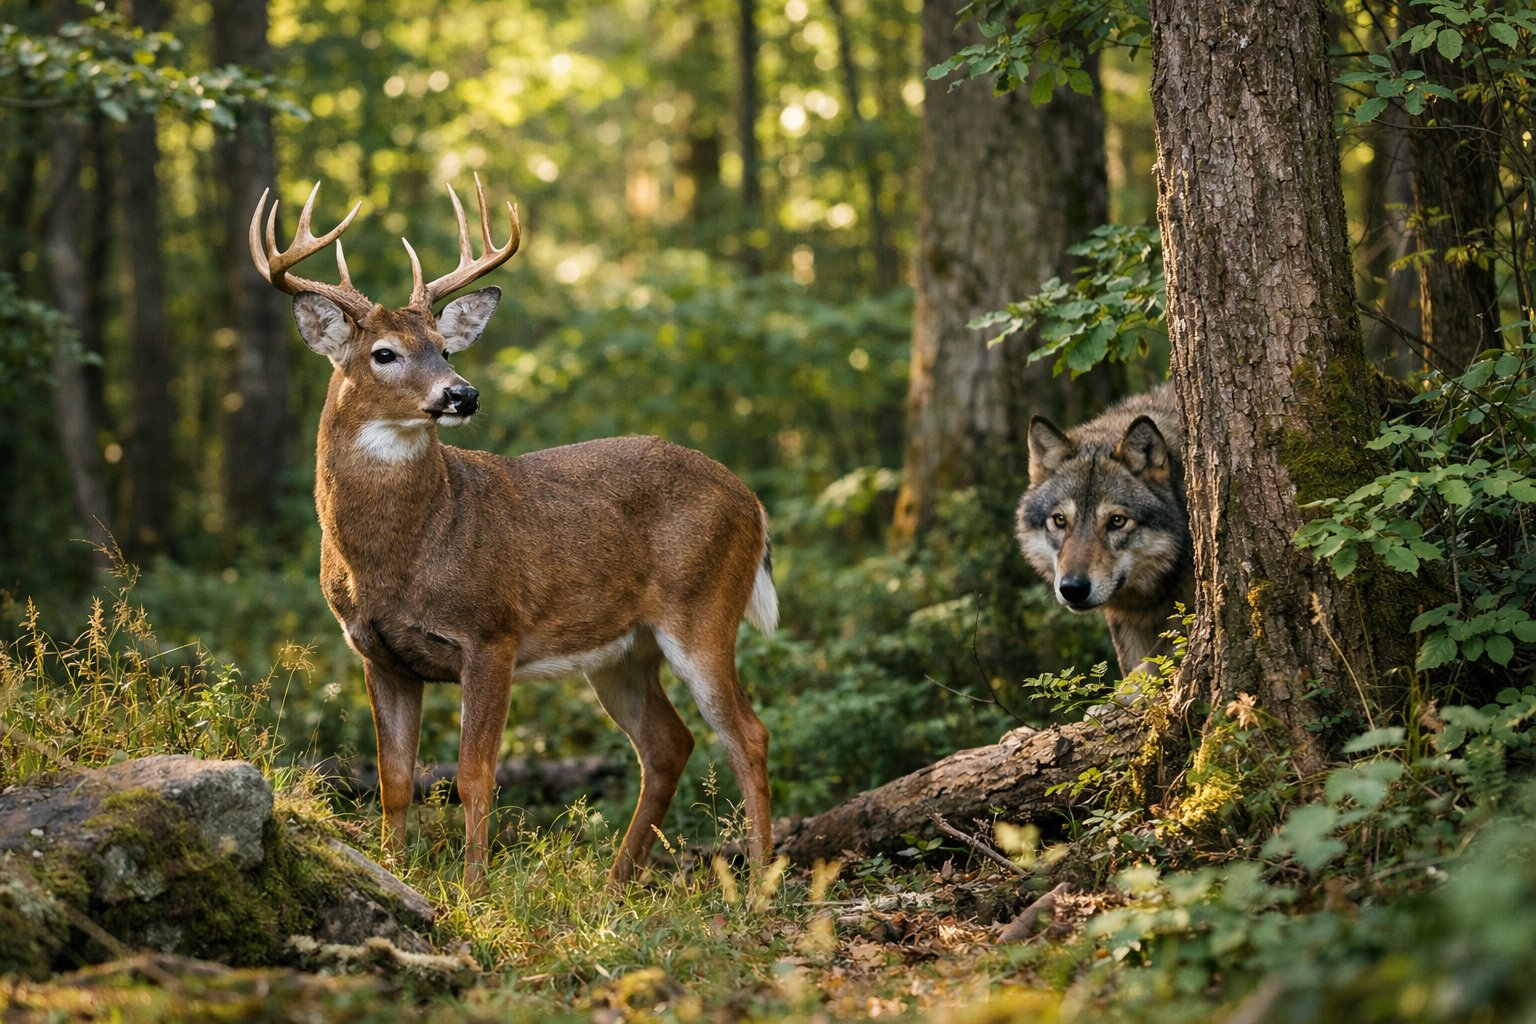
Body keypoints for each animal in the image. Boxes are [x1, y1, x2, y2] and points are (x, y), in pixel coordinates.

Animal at [248, 177, 776, 892]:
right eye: (384, 353)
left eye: (444, 347)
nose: (462, 394)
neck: (402, 554)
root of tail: (753, 502)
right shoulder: (377, 652)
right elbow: (394, 779)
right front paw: (393, 872)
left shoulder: (492, 631)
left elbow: (474, 776)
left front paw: (473, 893)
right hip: (622, 650)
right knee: (670, 743)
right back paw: (614, 885)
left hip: (703, 609)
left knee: (747, 734)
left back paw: (759, 890)